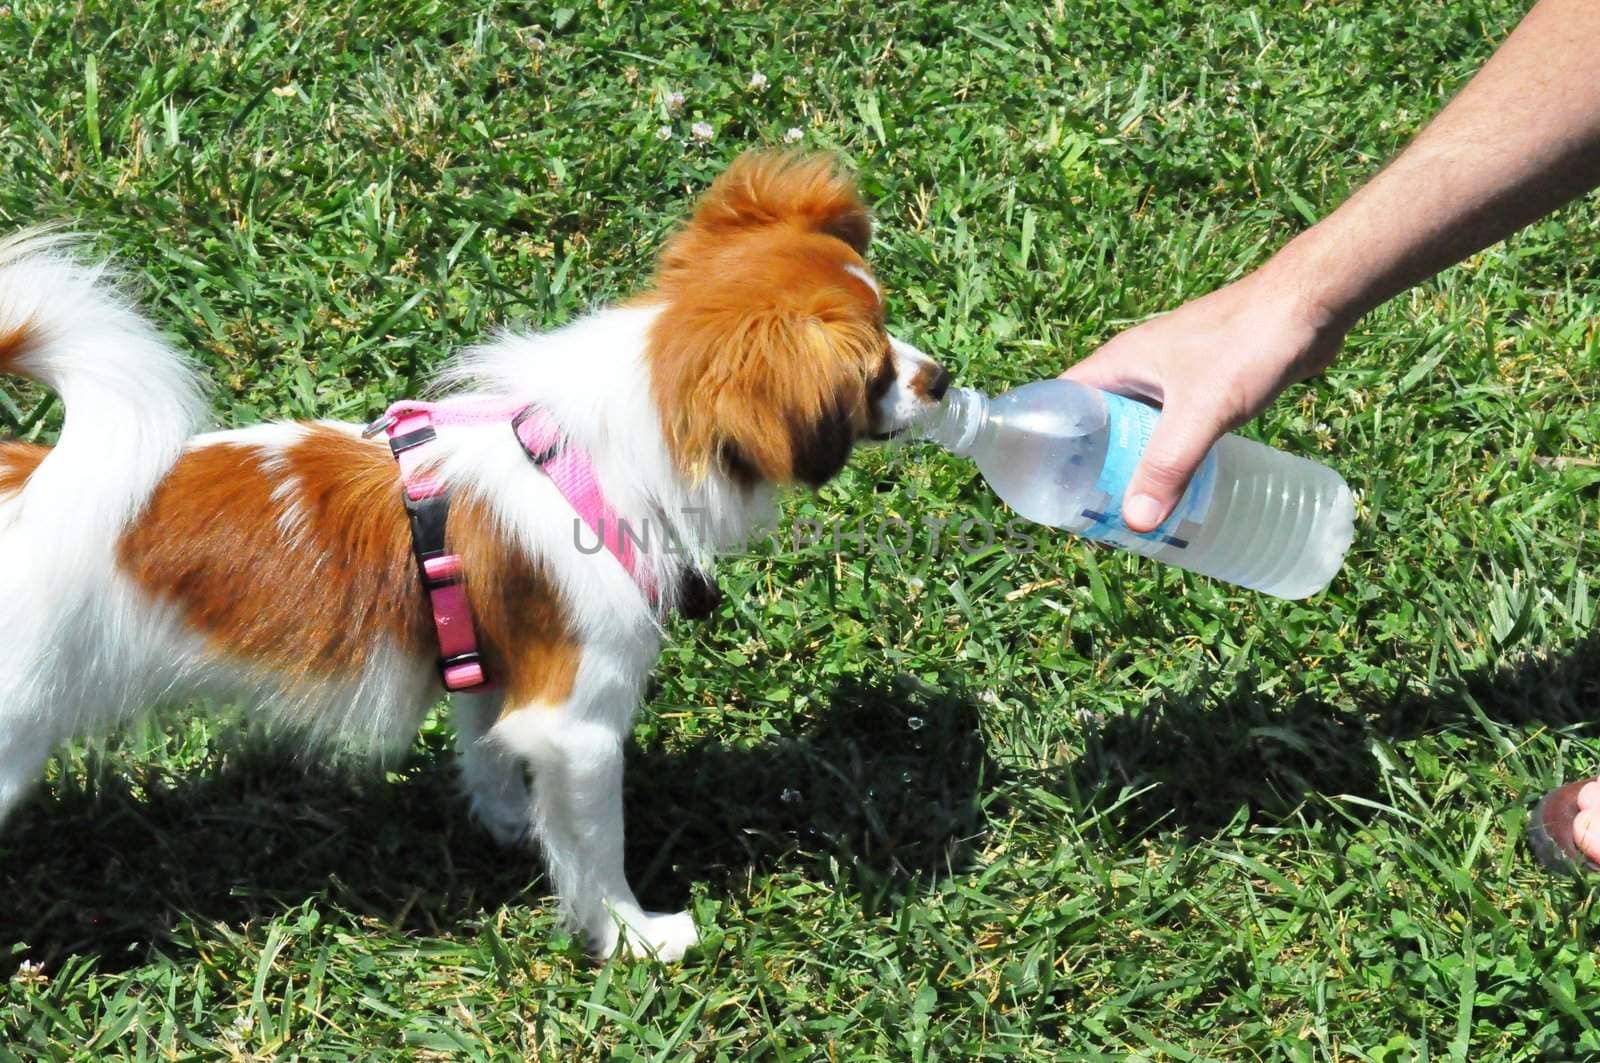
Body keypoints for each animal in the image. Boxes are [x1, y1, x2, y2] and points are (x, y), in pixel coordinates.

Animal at [0, 153, 947, 960]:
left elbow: (490, 748)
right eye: (873, 367)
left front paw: (514, 823)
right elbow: (599, 847)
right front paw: (634, 936)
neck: (590, 456)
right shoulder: (580, 721)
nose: (939, 378)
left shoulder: (485, 657)